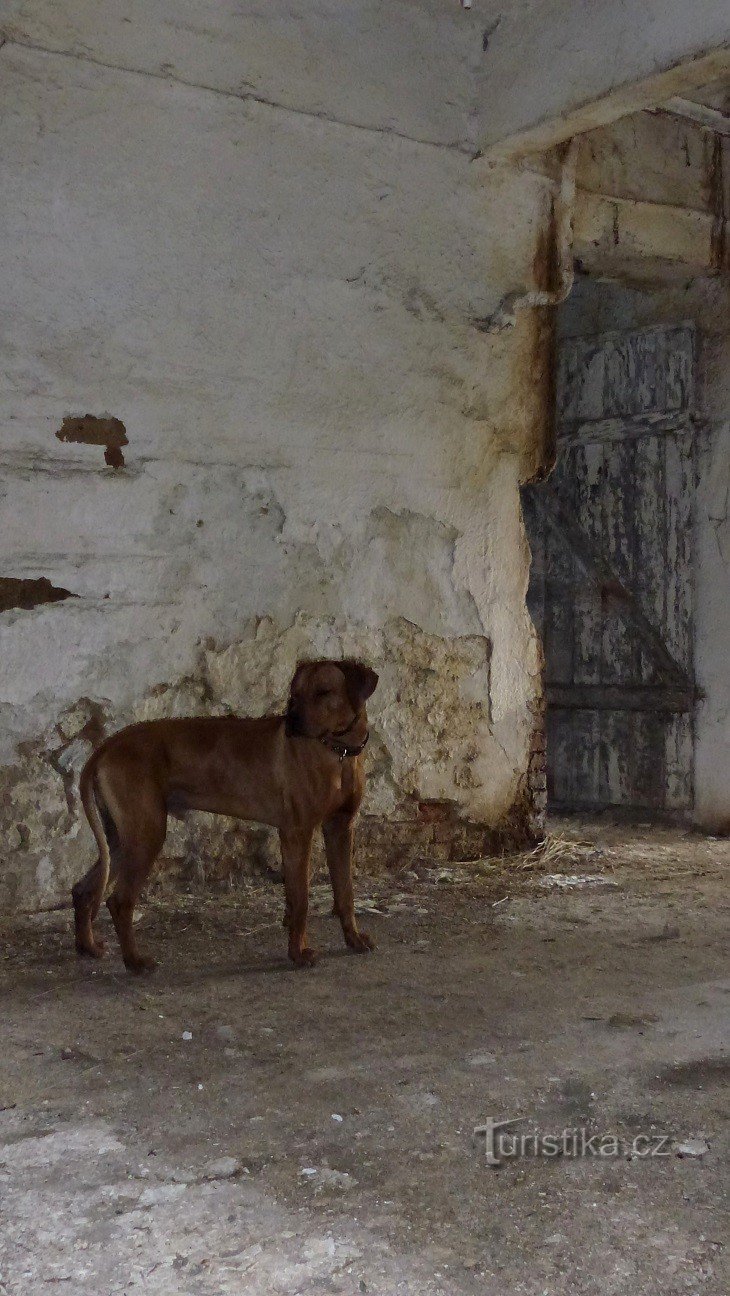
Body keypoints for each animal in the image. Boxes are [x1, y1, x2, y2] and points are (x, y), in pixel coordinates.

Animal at [71, 658, 381, 974]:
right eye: (294, 694)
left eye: (323, 692)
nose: (292, 723)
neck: (337, 751)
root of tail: (106, 747)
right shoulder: (297, 833)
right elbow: (300, 900)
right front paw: (298, 953)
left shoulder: (341, 828)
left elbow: (345, 893)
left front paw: (354, 939)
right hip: (146, 834)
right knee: (119, 901)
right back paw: (134, 961)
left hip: (120, 839)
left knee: (83, 890)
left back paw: (88, 947)